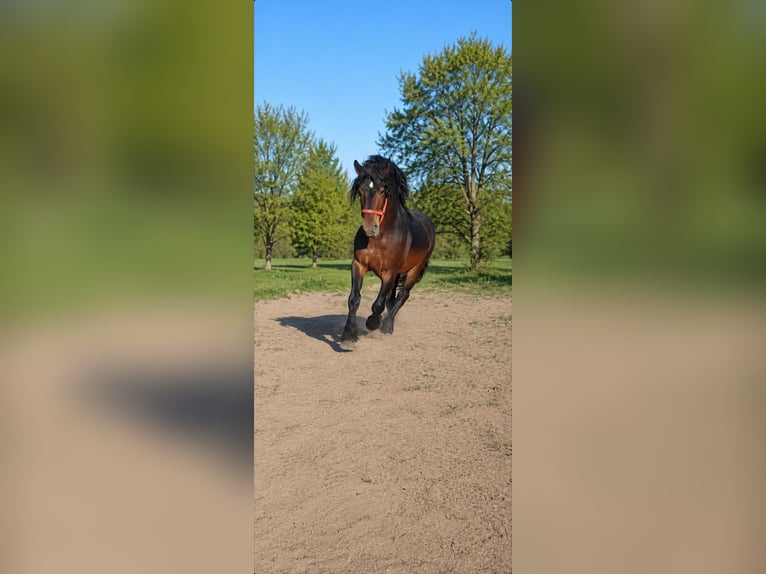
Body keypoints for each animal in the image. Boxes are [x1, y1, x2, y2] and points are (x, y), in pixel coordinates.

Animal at [340, 155, 435, 345]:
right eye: (360, 191)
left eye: (383, 191)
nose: (370, 228)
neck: (380, 238)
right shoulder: (358, 265)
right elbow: (354, 299)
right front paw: (348, 335)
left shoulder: (389, 273)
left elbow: (378, 304)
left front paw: (373, 322)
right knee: (393, 299)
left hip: (414, 270)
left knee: (402, 295)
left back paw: (387, 326)